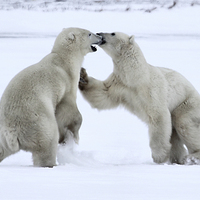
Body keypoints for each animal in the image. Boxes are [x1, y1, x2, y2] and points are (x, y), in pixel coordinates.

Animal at [0, 27, 102, 167]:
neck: (64, 59)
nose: (101, 37)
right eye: (89, 33)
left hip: (2, 136)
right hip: (38, 123)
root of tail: (12, 133)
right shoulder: (66, 83)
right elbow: (68, 111)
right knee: (47, 143)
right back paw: (52, 163)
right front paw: (71, 138)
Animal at [78, 32, 200, 165]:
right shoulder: (120, 84)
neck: (135, 76)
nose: (99, 33)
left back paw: (192, 157)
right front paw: (82, 76)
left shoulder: (151, 89)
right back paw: (177, 159)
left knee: (183, 122)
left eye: (113, 33)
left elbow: (158, 116)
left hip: (187, 103)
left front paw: (159, 157)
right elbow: (103, 94)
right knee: (174, 135)